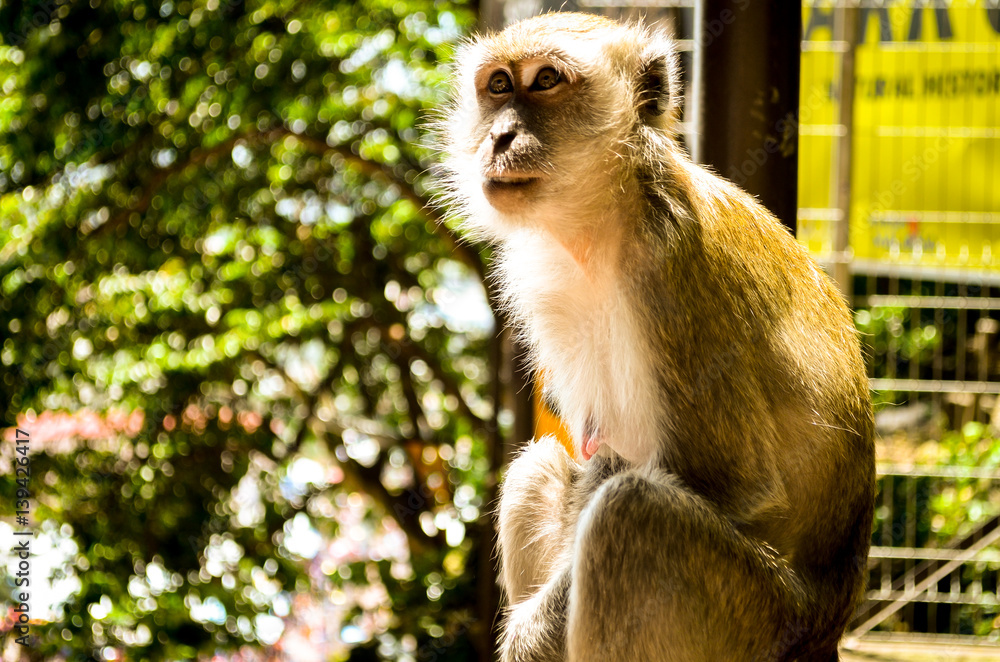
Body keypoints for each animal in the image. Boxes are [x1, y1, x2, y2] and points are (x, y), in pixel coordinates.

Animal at [438, 12, 875, 662]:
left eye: (545, 81)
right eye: (498, 85)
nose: (499, 137)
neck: (606, 220)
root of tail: (827, 629)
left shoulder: (669, 267)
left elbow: (740, 489)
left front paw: (530, 640)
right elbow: (593, 458)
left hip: (754, 619)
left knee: (630, 514)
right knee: (539, 470)